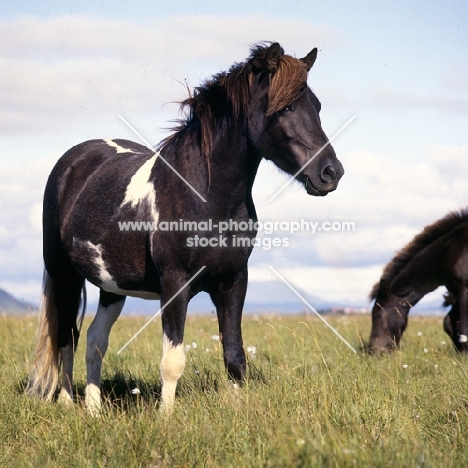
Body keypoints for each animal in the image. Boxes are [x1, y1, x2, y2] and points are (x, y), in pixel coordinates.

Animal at [28, 41, 344, 414]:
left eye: (317, 106)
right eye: (286, 107)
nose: (331, 173)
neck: (205, 197)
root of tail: (72, 161)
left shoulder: (233, 282)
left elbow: (234, 356)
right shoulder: (175, 284)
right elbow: (172, 361)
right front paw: (166, 417)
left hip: (112, 285)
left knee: (94, 340)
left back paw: (94, 409)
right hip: (65, 275)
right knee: (65, 337)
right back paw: (66, 401)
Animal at [370, 208, 468, 352]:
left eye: (377, 314)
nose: (374, 350)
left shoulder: (464, 290)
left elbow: (463, 328)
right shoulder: (457, 292)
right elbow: (449, 322)